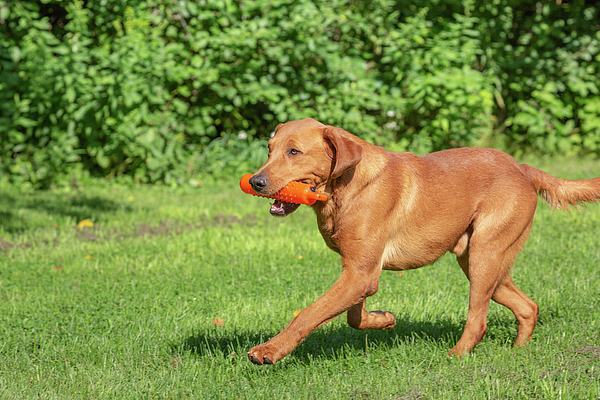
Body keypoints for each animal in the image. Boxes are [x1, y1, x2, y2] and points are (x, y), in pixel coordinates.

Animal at [245, 117, 600, 364]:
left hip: (485, 256)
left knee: (478, 320)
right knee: (527, 307)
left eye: (294, 151)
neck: (343, 189)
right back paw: (517, 353)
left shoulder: (360, 273)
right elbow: (354, 317)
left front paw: (269, 350)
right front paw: (384, 319)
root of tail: (522, 167)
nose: (255, 182)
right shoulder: (359, 271)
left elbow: (308, 314)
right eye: (269, 149)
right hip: (480, 262)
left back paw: (455, 357)